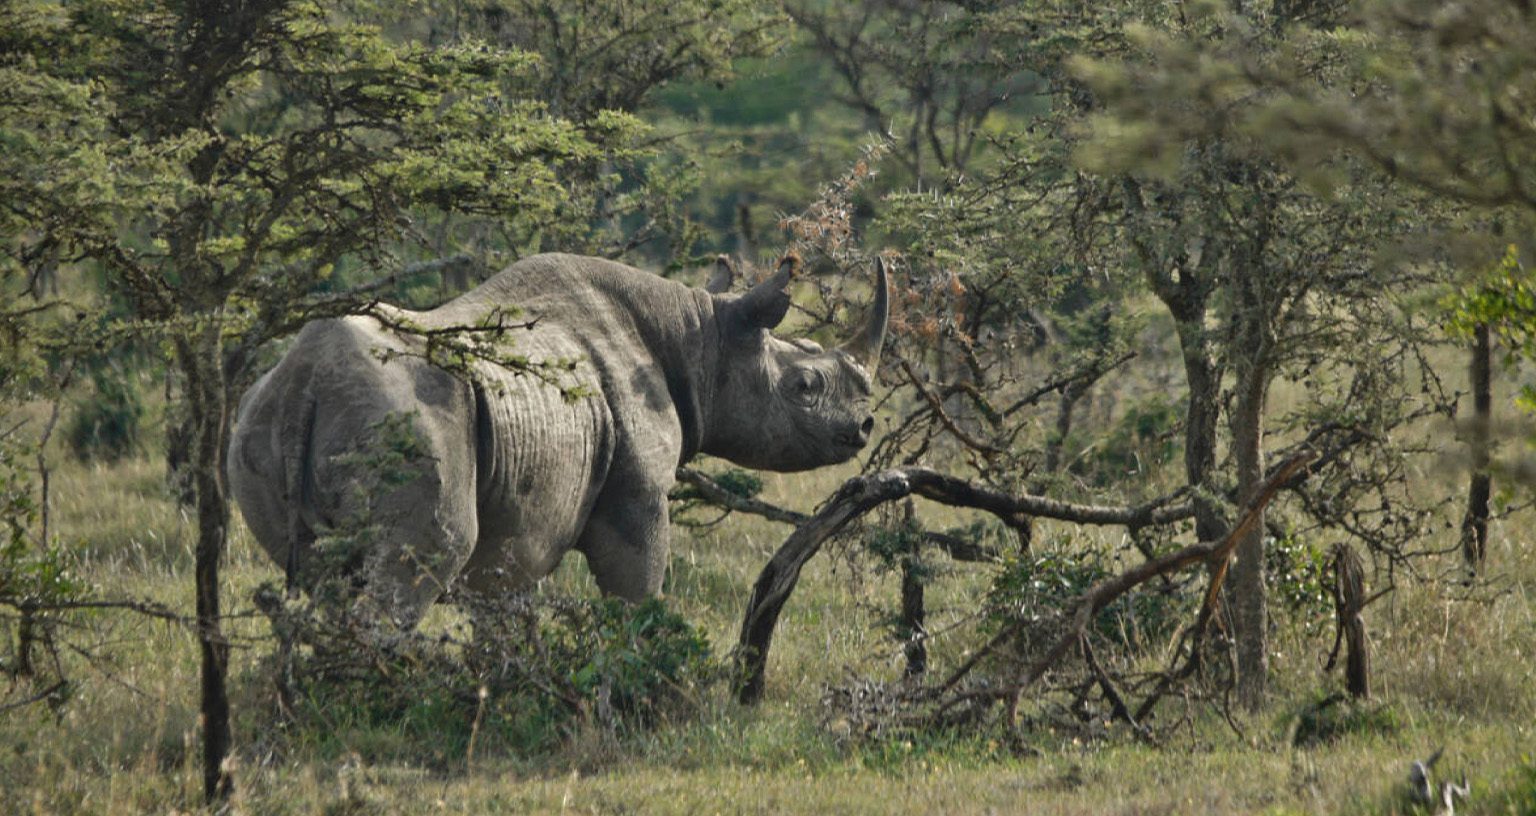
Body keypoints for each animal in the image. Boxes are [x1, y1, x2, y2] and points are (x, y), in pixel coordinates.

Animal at [228, 252, 888, 628]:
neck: (702, 335)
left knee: (324, 579)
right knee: (424, 558)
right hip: (404, 418)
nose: (864, 426)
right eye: (804, 387)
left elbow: (503, 603)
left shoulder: (521, 520)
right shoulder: (637, 491)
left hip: (253, 426)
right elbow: (636, 590)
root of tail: (304, 381)